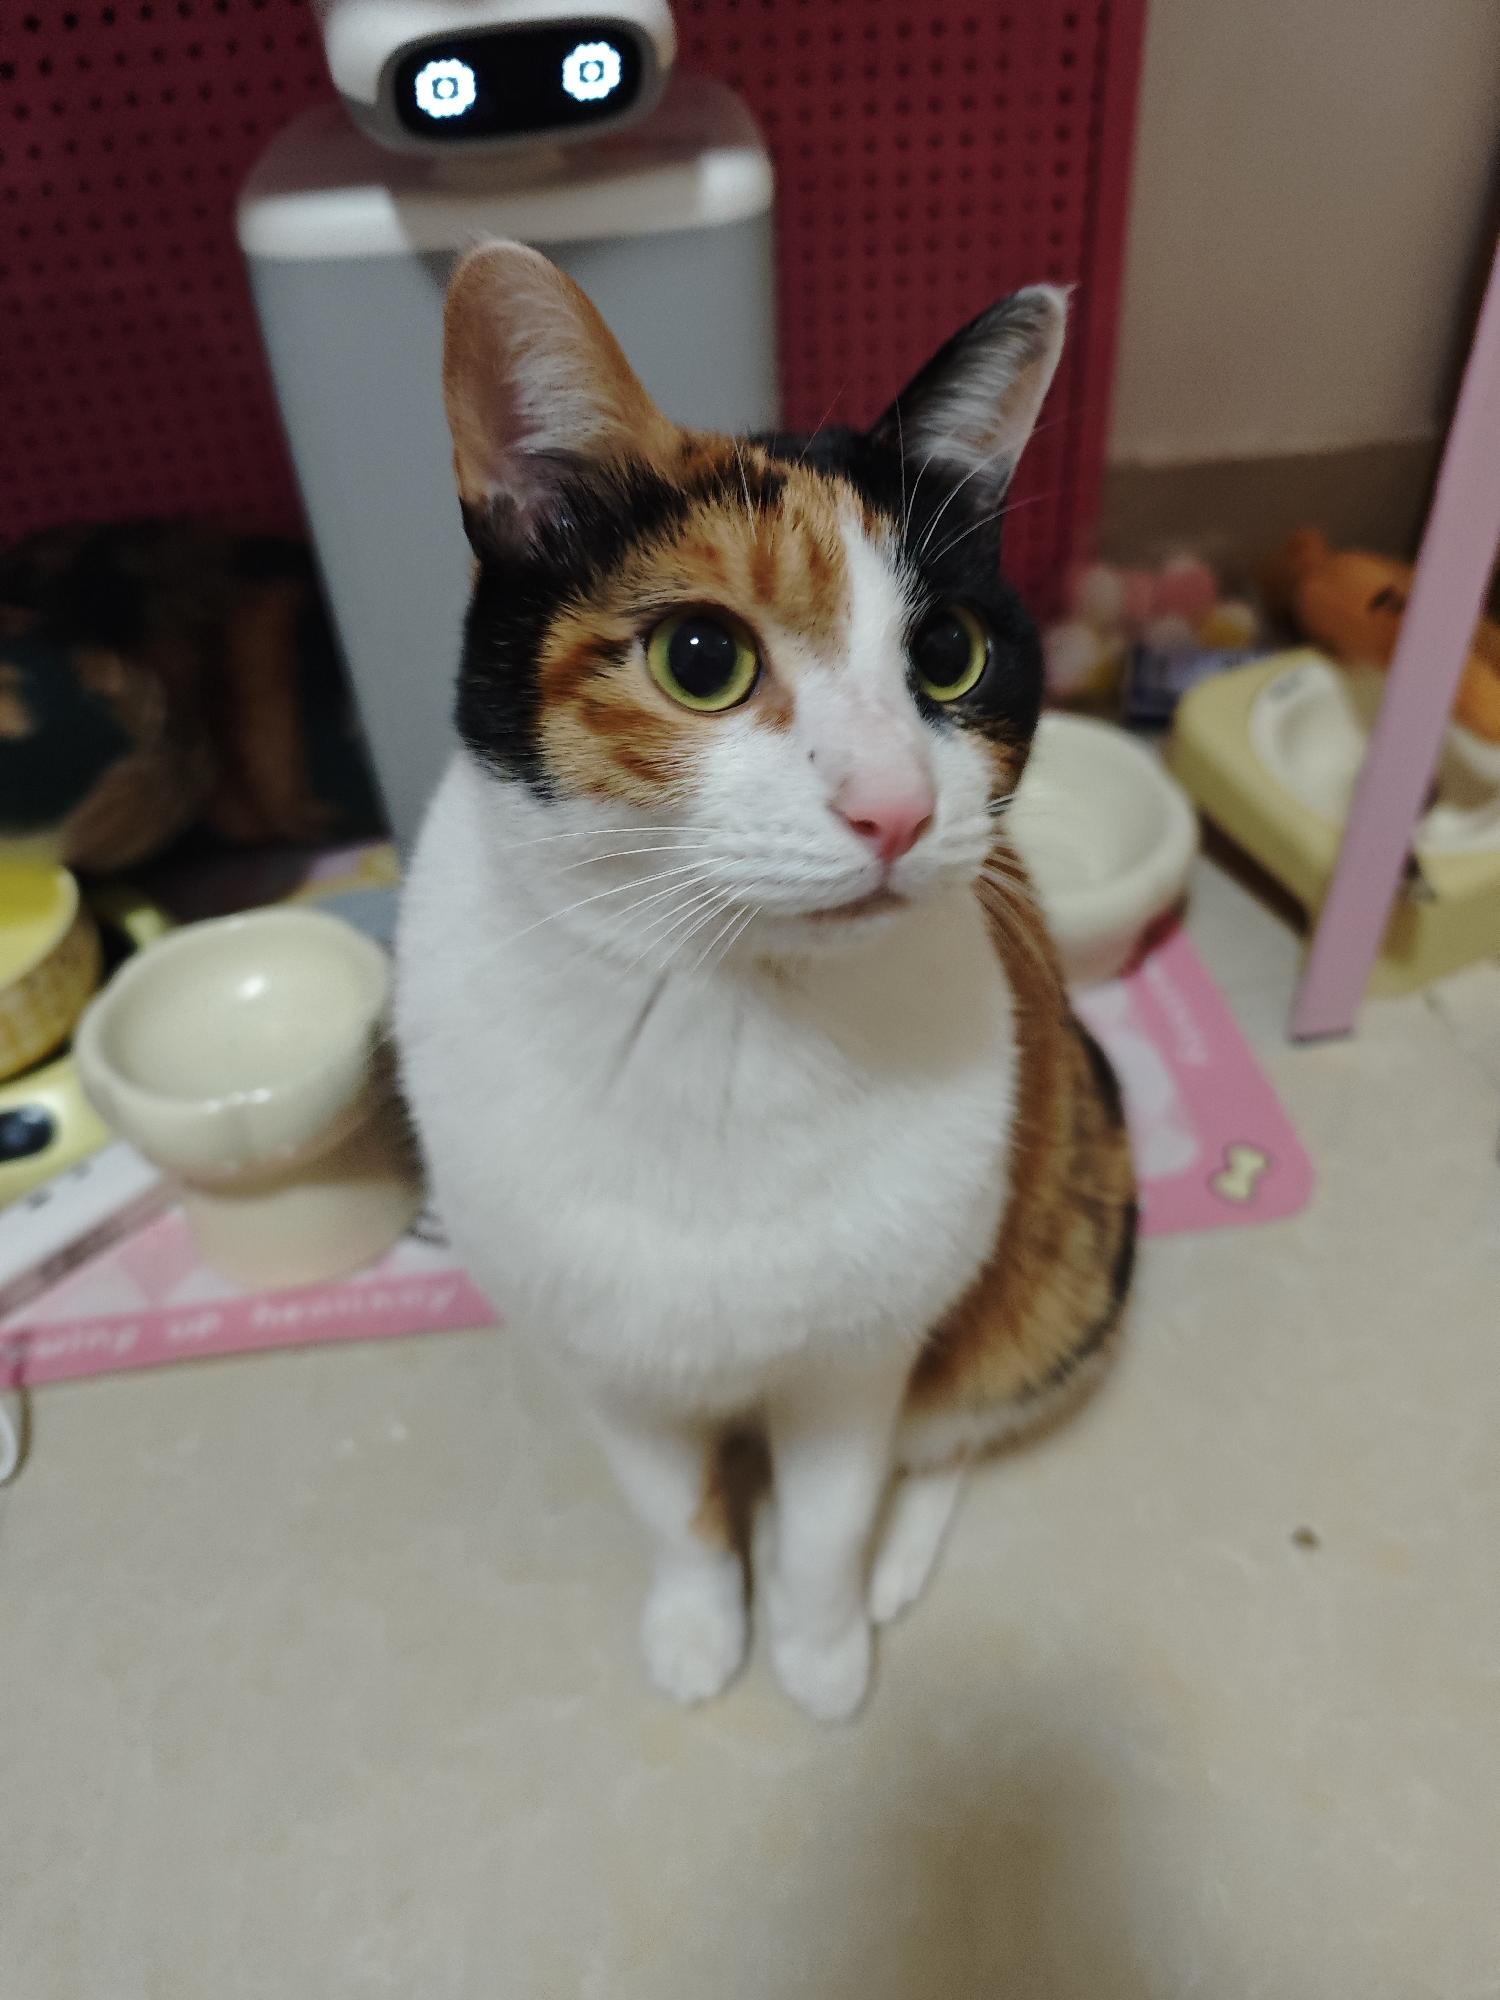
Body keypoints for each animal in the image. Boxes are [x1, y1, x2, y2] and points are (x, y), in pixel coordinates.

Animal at [395, 242, 1136, 1722]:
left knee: (956, 1429)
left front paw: (820, 1643)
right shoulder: (608, 1358)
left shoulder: (860, 1360)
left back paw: (900, 1560)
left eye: (948, 653)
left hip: (1063, 1245)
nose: (900, 807)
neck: (724, 1017)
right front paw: (697, 1630)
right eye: (701, 657)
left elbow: (831, 1514)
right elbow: (676, 1512)